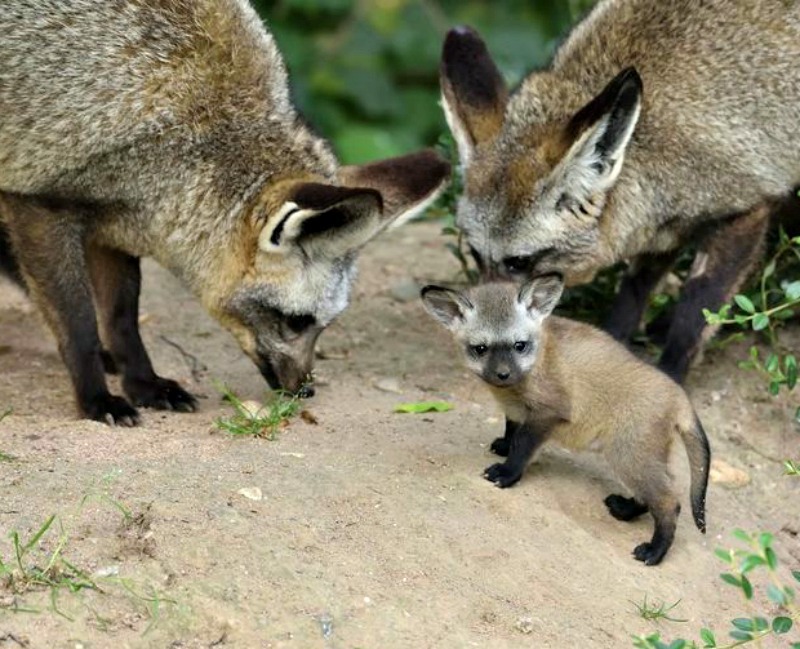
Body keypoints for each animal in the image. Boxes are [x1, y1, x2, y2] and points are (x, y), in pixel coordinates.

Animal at [0, 1, 450, 426]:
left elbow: (121, 319)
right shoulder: (39, 203)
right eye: (296, 321)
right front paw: (97, 399)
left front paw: (145, 385)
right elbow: (79, 325)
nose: (305, 390)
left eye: (324, 324)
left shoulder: (114, 222)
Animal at [422, 276, 708, 564]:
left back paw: (654, 551)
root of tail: (679, 394)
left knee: (670, 503)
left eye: (519, 345)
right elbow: (511, 429)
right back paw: (624, 509)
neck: (538, 360)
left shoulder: (548, 412)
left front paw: (508, 472)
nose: (503, 374)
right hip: (642, 459)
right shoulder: (517, 410)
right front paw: (503, 446)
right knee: (653, 495)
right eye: (481, 349)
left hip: (627, 457)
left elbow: (522, 444)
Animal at [440, 0, 796, 382]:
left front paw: (671, 374)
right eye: (475, 253)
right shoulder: (660, 224)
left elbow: (696, 314)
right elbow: (634, 289)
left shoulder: (745, 209)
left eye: (518, 262)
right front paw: (614, 341)